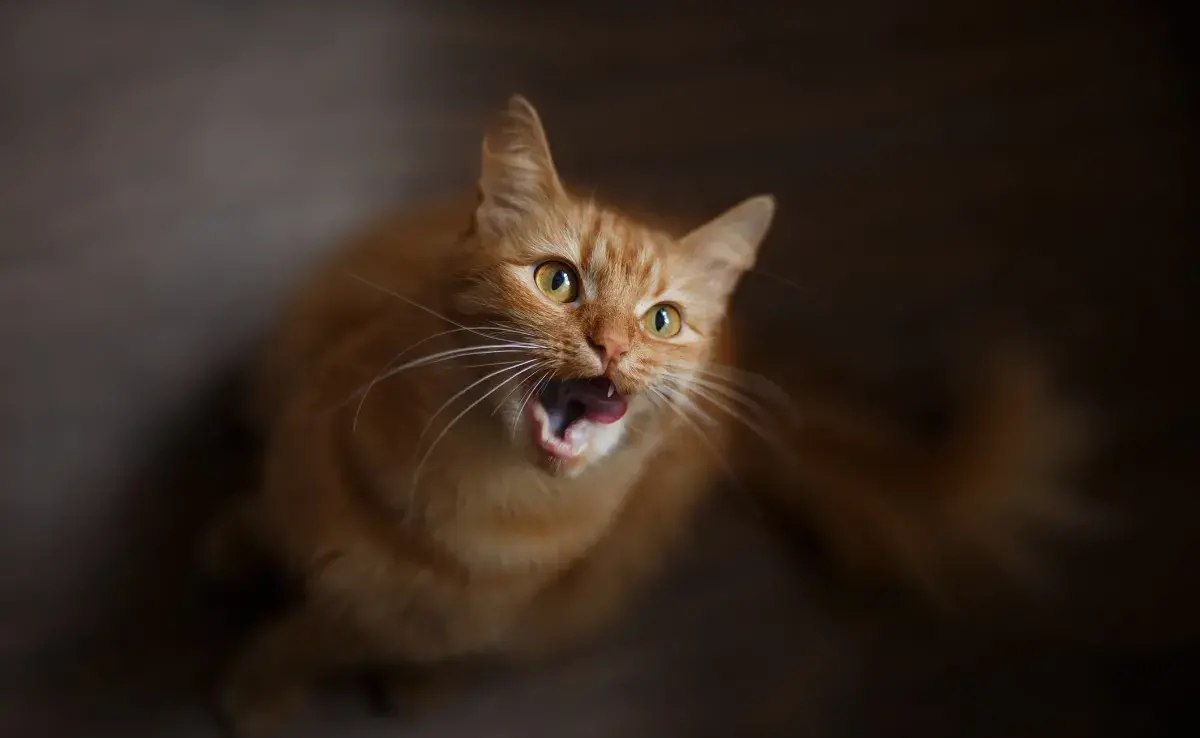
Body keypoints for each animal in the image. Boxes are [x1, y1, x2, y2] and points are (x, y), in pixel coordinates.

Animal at [211, 95, 1094, 734]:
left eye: (662, 320)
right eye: (558, 280)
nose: (613, 346)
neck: (471, 502)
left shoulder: (405, 616)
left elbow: (314, 637)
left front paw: (260, 684)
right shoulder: (304, 446)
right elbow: (282, 531)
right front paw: (243, 550)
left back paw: (423, 681)